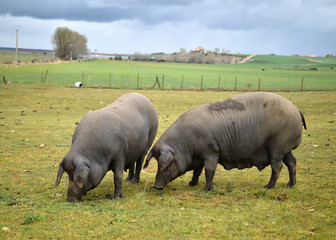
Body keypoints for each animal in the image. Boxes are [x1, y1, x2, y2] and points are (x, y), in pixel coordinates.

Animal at [143, 91, 306, 191]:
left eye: (167, 163)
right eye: (157, 162)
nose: (157, 186)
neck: (186, 145)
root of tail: (296, 109)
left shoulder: (211, 152)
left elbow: (209, 171)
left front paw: (206, 190)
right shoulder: (200, 156)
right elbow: (197, 171)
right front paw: (191, 184)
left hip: (277, 146)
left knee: (277, 166)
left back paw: (267, 187)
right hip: (285, 148)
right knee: (292, 162)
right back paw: (289, 185)